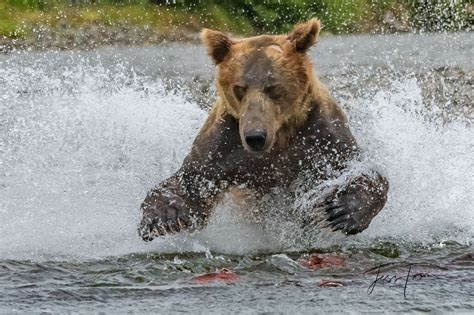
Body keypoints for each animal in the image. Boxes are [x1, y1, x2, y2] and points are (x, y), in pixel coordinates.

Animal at [138, 19, 388, 242]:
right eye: (239, 87)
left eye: (273, 87)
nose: (255, 137)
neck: (280, 135)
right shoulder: (223, 143)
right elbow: (192, 183)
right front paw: (160, 216)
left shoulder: (320, 134)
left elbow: (360, 168)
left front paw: (342, 211)